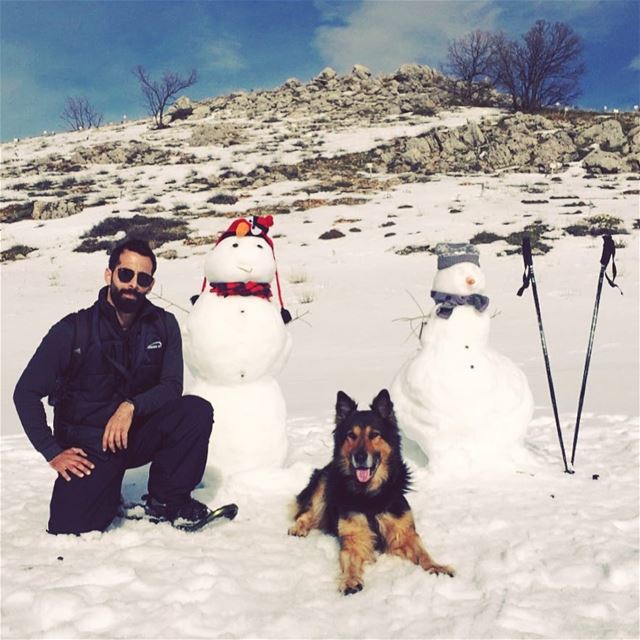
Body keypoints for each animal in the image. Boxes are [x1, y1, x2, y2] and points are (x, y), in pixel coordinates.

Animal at [288, 390, 452, 596]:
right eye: (351, 435)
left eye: (374, 434)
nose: (359, 457)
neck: (370, 496)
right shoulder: (354, 539)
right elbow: (350, 562)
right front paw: (350, 580)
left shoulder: (403, 533)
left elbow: (423, 553)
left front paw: (436, 567)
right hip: (322, 484)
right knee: (306, 513)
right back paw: (298, 528)